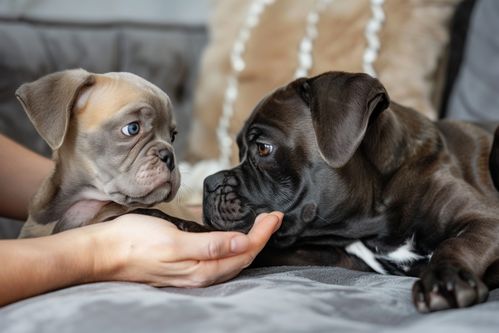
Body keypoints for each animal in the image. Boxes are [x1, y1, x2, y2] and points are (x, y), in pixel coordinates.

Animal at [201, 70, 499, 312]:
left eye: (263, 148)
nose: (208, 183)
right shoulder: (327, 254)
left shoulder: (486, 220)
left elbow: (455, 244)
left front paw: (443, 280)